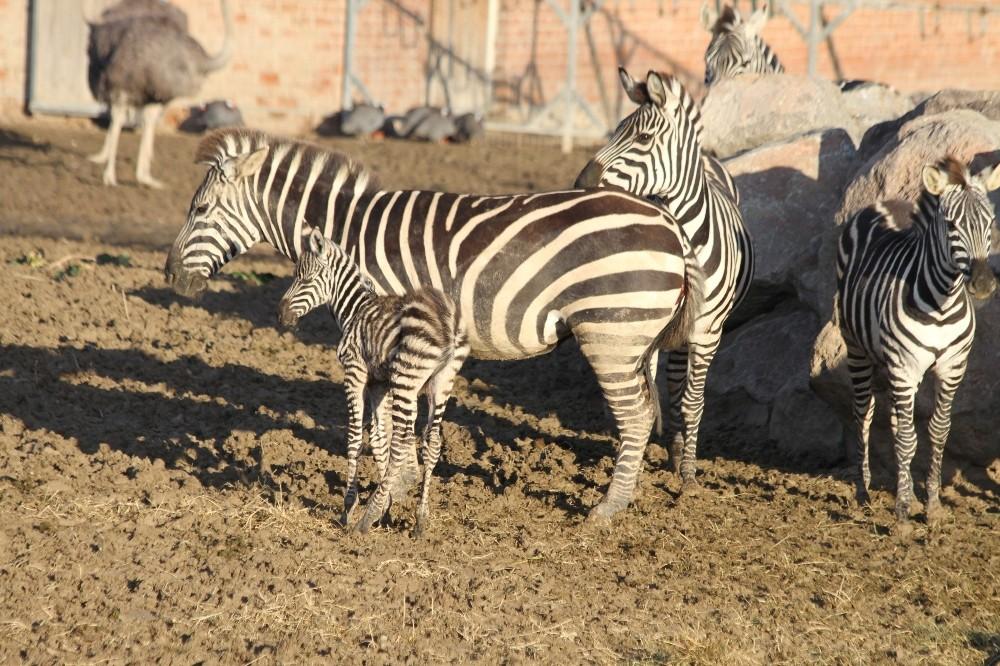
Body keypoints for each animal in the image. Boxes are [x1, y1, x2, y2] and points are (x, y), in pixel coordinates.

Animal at [278, 226, 469, 535]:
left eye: (305, 278)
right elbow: (379, 438)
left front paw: (351, 507)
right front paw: (388, 507)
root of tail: (448, 318)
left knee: (402, 441)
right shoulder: (379, 383)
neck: (354, 309)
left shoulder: (354, 372)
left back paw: (365, 519)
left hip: (407, 377)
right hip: (441, 381)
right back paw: (420, 520)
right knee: (431, 442)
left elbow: (356, 438)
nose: (280, 315)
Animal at [575, 69, 753, 492]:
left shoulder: (708, 332)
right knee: (669, 383)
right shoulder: (645, 323)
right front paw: (636, 468)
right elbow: (651, 394)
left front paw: (688, 476)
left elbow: (693, 402)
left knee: (683, 389)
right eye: (614, 130)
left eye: (642, 138)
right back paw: (671, 446)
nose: (581, 182)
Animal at [837, 156, 999, 530]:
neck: (942, 302)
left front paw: (931, 506)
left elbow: (937, 432)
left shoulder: (953, 368)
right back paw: (864, 493)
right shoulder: (904, 367)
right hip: (857, 349)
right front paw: (901, 518)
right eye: (951, 225)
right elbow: (908, 439)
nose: (984, 284)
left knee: (897, 423)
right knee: (864, 414)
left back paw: (905, 490)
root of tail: (882, 203)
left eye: (991, 222)